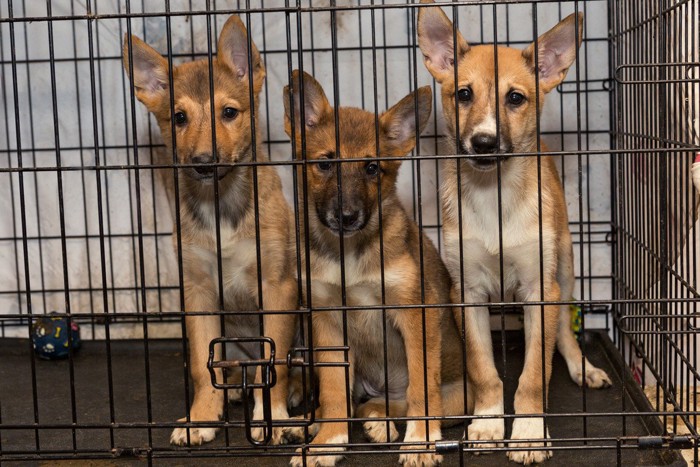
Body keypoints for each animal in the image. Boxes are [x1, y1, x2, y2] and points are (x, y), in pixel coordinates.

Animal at [123, 14, 298, 446]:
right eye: (179, 118)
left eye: (229, 112)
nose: (204, 161)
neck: (220, 205)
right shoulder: (198, 292)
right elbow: (203, 367)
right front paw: (202, 416)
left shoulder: (277, 286)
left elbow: (275, 364)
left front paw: (274, 417)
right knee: (229, 367)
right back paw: (233, 388)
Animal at [280, 70, 470, 467]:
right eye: (324, 163)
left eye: (372, 168)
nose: (347, 216)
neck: (349, 256)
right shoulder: (327, 321)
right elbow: (333, 393)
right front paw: (329, 442)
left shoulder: (415, 314)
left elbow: (421, 390)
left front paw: (420, 441)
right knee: (353, 402)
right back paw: (312, 424)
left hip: (459, 397)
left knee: (397, 402)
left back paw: (382, 423)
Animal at [418, 2, 608, 464]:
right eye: (463, 94)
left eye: (515, 98)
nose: (484, 143)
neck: (495, 195)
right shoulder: (466, 294)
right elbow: (484, 370)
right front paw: (487, 424)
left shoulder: (540, 289)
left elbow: (535, 373)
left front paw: (527, 432)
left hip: (564, 269)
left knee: (564, 334)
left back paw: (584, 367)